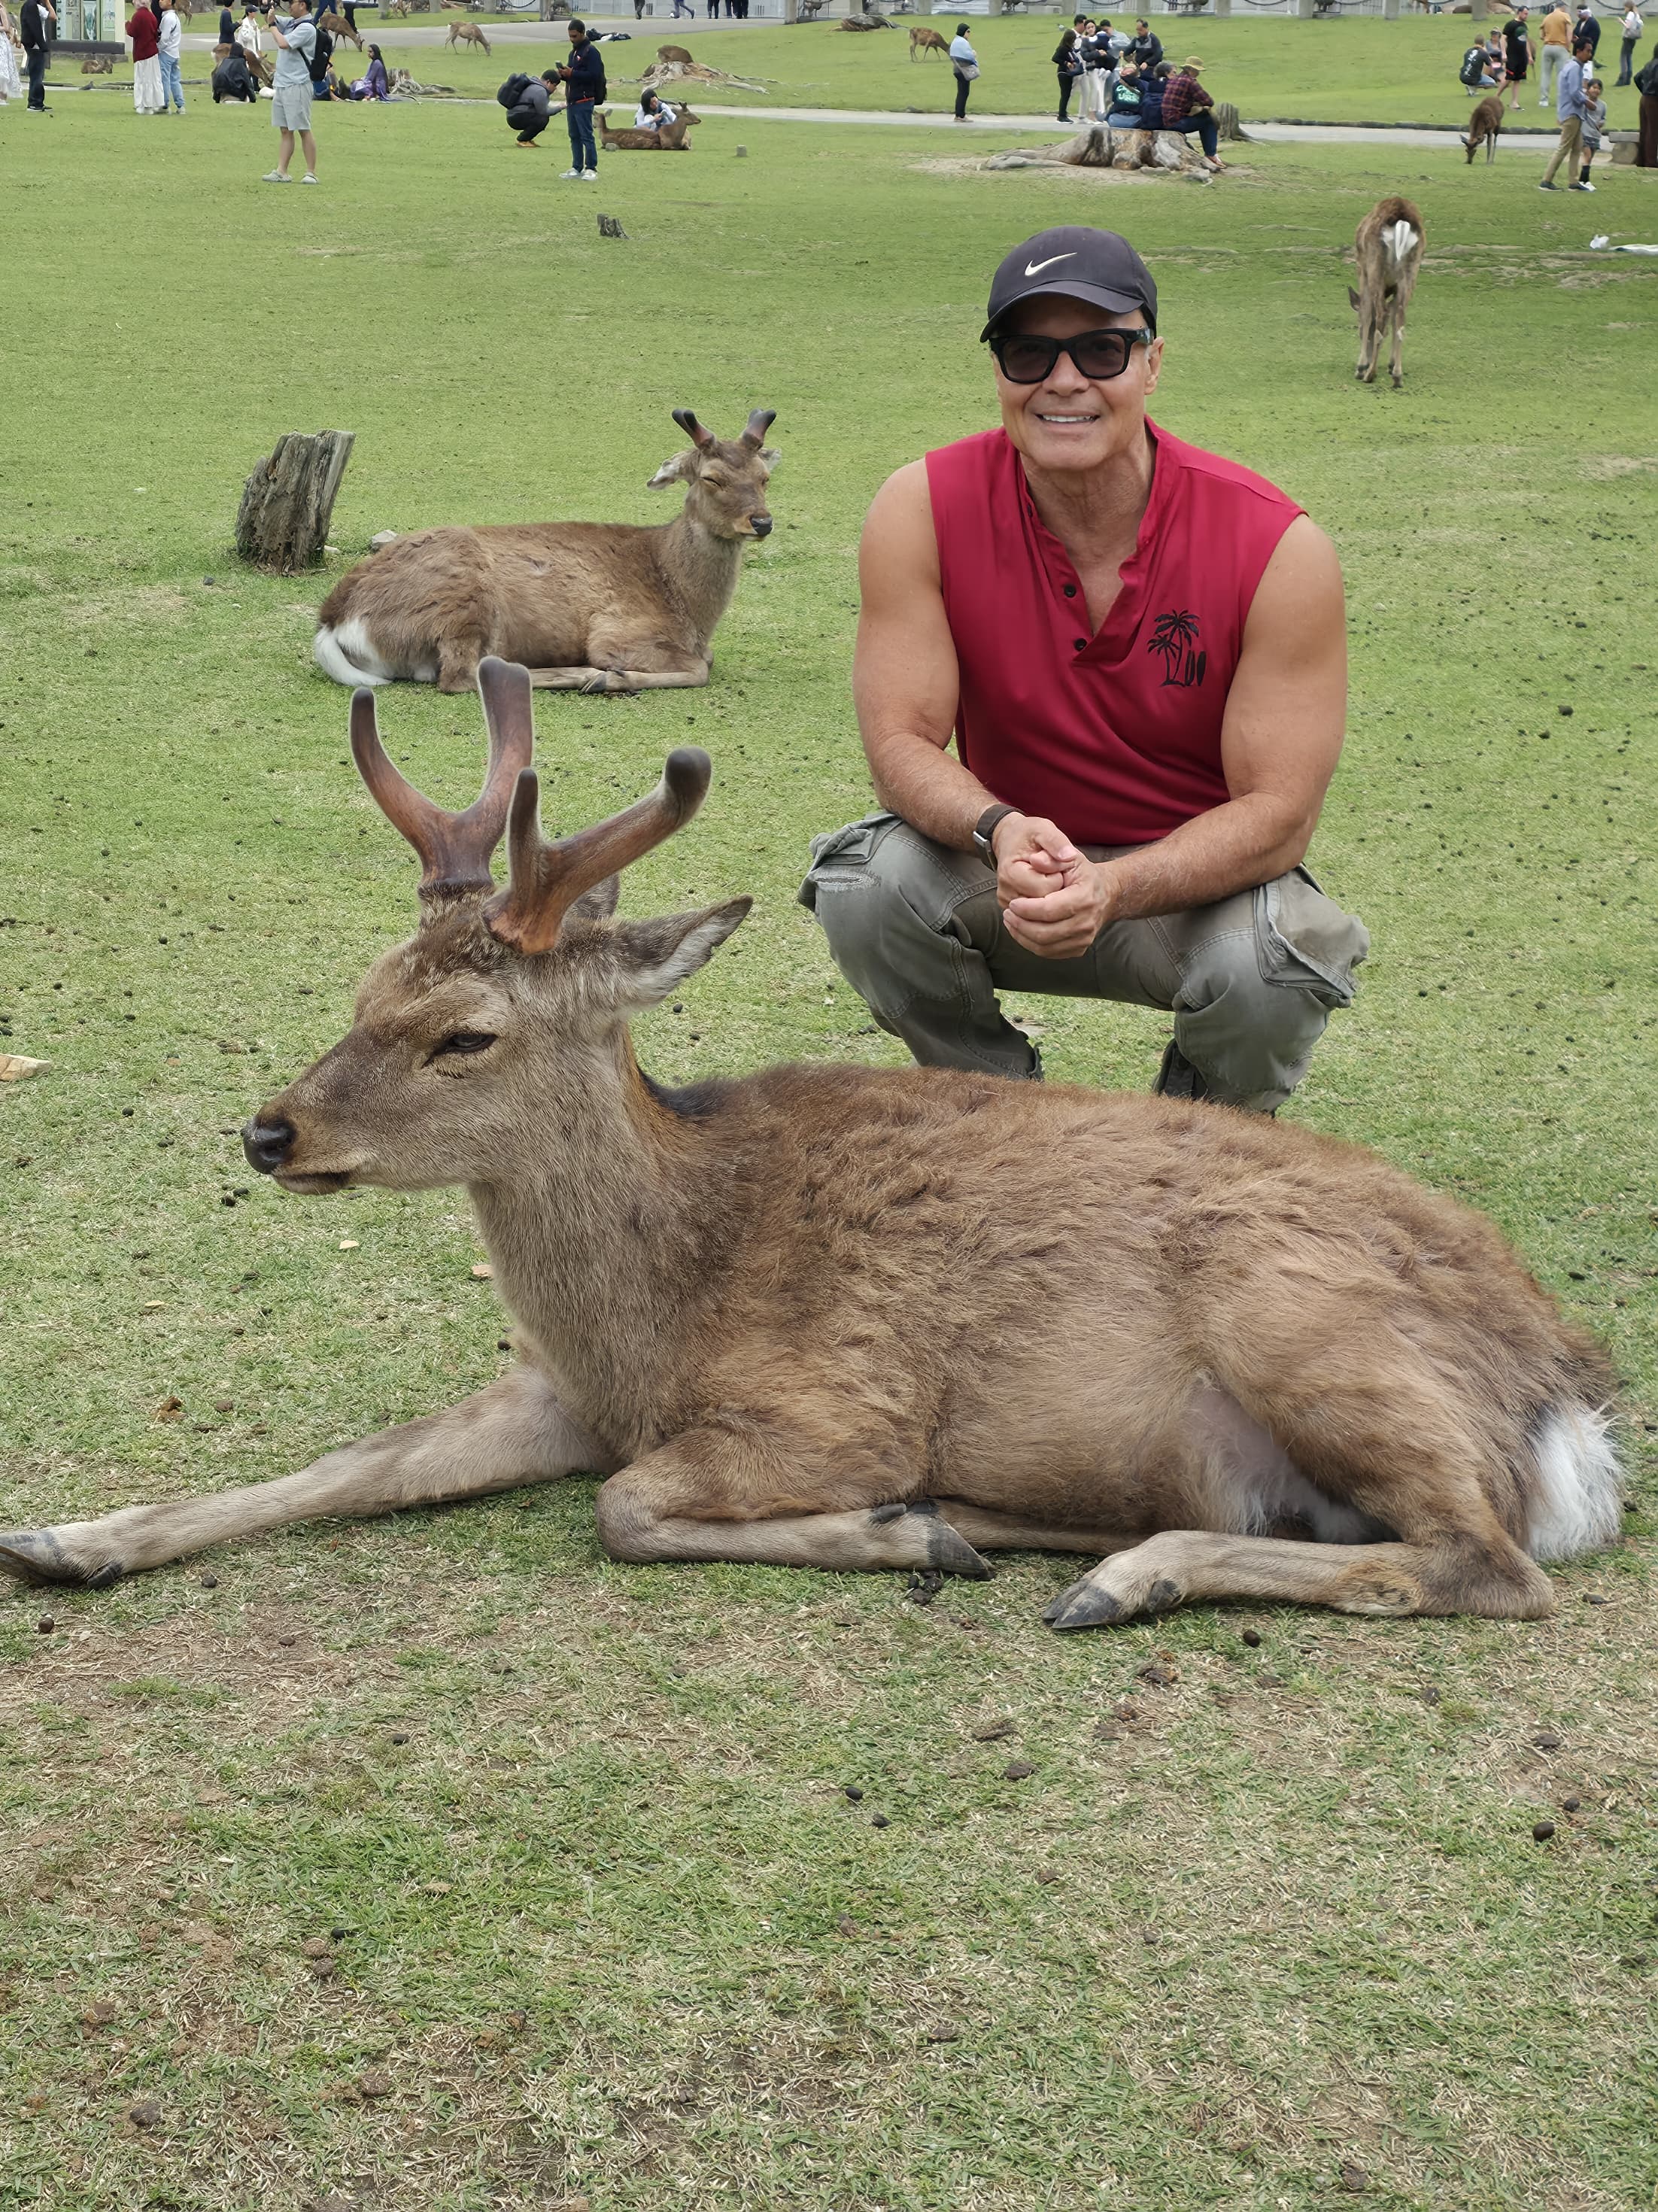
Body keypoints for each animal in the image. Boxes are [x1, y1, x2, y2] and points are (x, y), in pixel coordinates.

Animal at [0, 663, 1623, 1626]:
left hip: (1299, 1325)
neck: (650, 1314)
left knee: (1483, 1564)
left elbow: (626, 1508)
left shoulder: (832, 1405)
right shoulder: (555, 1391)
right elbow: (352, 1462)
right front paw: (66, 1538)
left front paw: (909, 1533)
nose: (272, 1131)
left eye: (465, 1033)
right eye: (365, 990)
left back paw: (1109, 1570)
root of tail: (1570, 1400)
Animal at [313, 406, 778, 697]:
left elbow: (707, 661)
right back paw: (584, 677)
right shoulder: (616, 632)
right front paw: (612, 676)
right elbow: (700, 669)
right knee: (463, 676)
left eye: (765, 476)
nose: (762, 522)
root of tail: (334, 622)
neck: (687, 608)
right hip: (463, 601)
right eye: (711, 477)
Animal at [1348, 195, 1424, 390]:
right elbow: (1393, 319)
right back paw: (1397, 376)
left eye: (1358, 330)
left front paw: (1360, 367)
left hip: (1375, 266)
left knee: (1381, 314)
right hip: (1411, 271)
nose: (1366, 362)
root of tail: (1402, 220)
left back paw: (1369, 374)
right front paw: (1391, 365)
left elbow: (1367, 314)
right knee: (1401, 318)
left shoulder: (1362, 271)